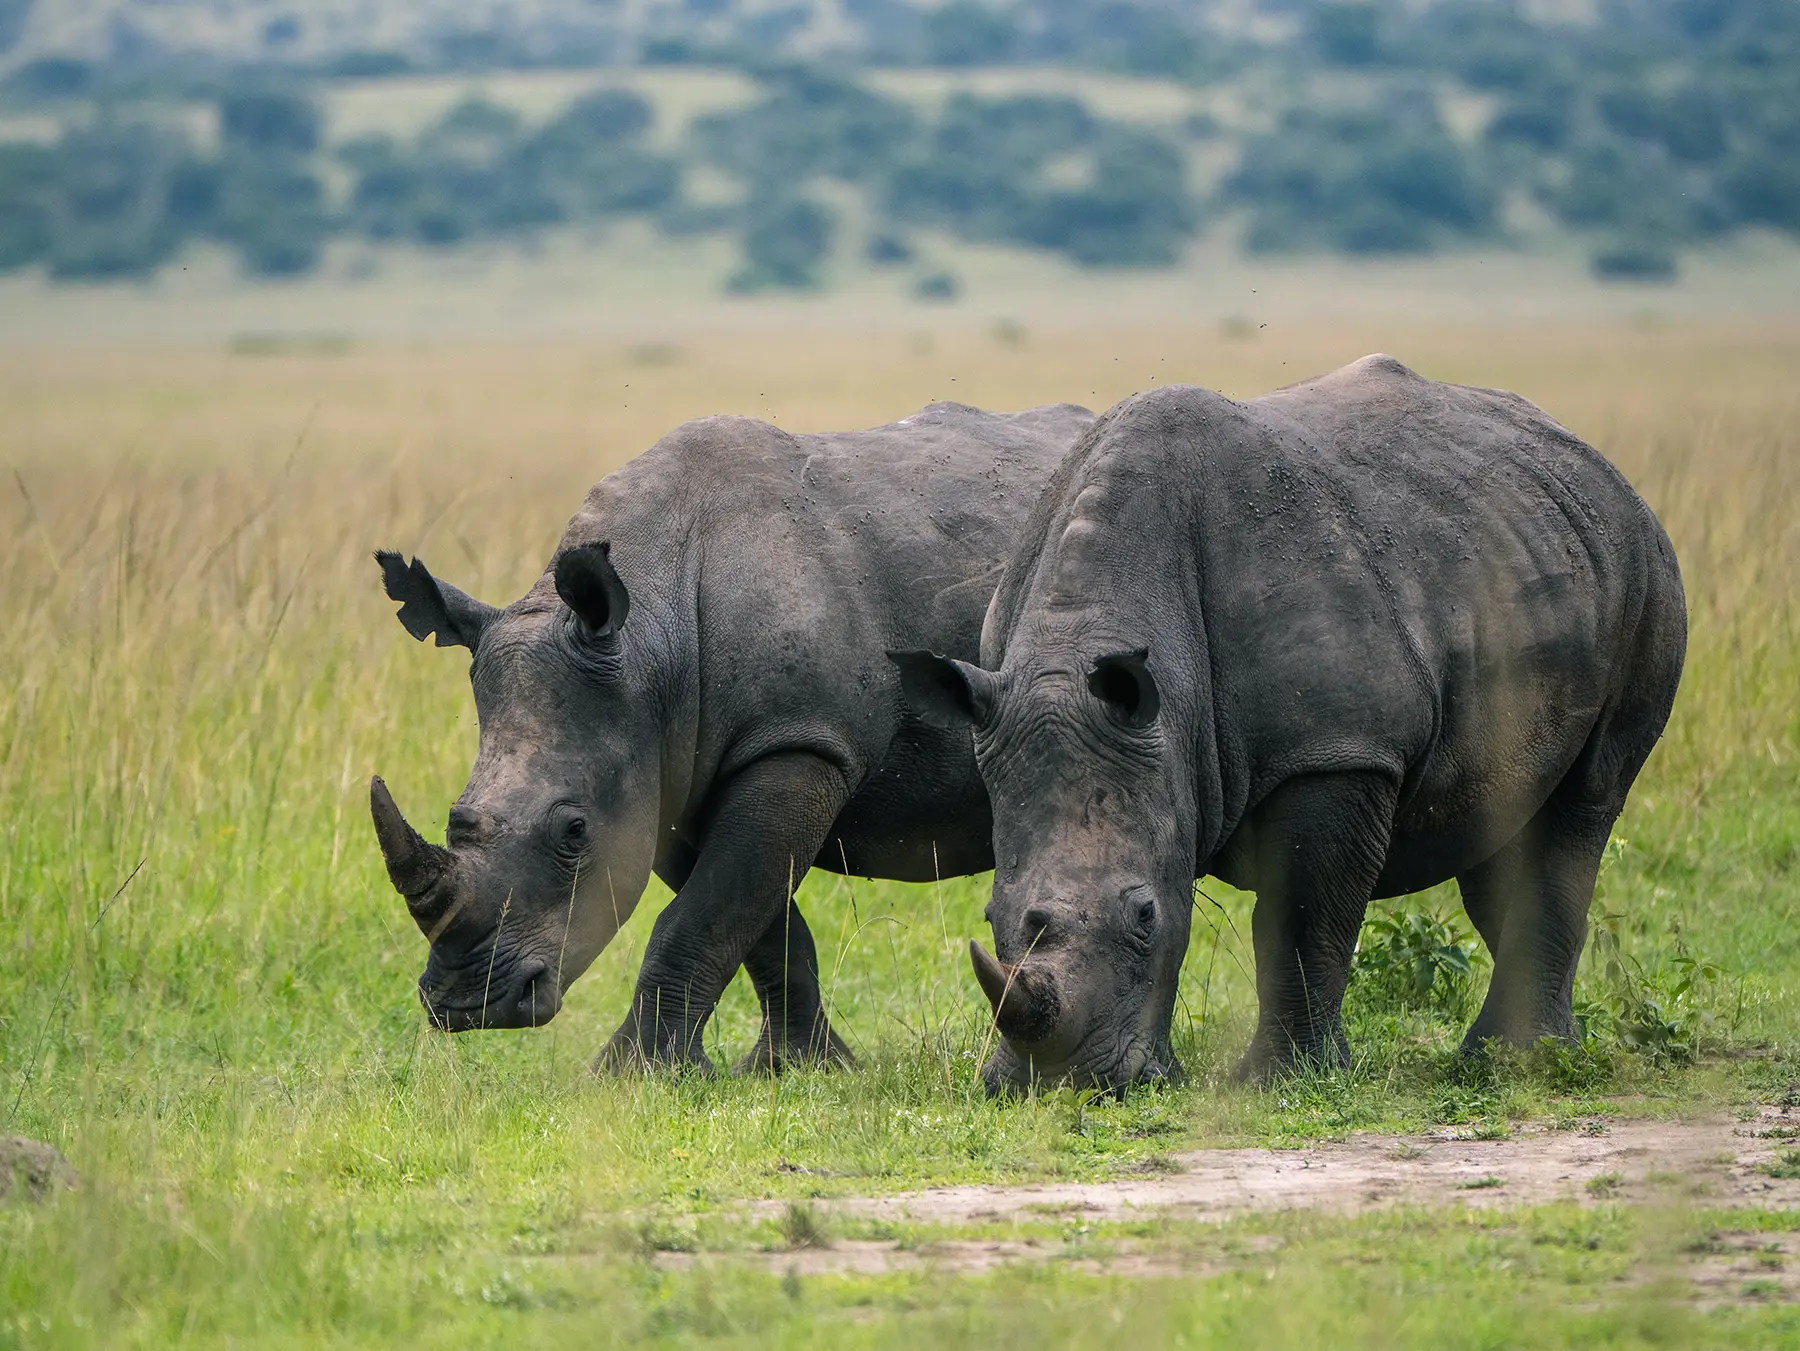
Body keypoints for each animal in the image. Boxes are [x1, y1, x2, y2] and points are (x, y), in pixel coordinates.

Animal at [370, 400, 1092, 1070]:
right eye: (456, 816)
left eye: (574, 831)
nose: (470, 1006)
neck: (647, 638)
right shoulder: (669, 769)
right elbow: (762, 926)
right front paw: (797, 1067)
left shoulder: (798, 743)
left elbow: (702, 916)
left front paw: (629, 1076)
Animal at [893, 356, 1686, 1092]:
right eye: (990, 915)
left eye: (1146, 916)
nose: (1066, 1087)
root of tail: (1603, 467)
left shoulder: (1337, 748)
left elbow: (1300, 915)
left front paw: (1278, 1080)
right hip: (1534, 546)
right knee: (1503, 825)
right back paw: (1526, 1056)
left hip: (1649, 571)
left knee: (1583, 803)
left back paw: (1520, 1063)